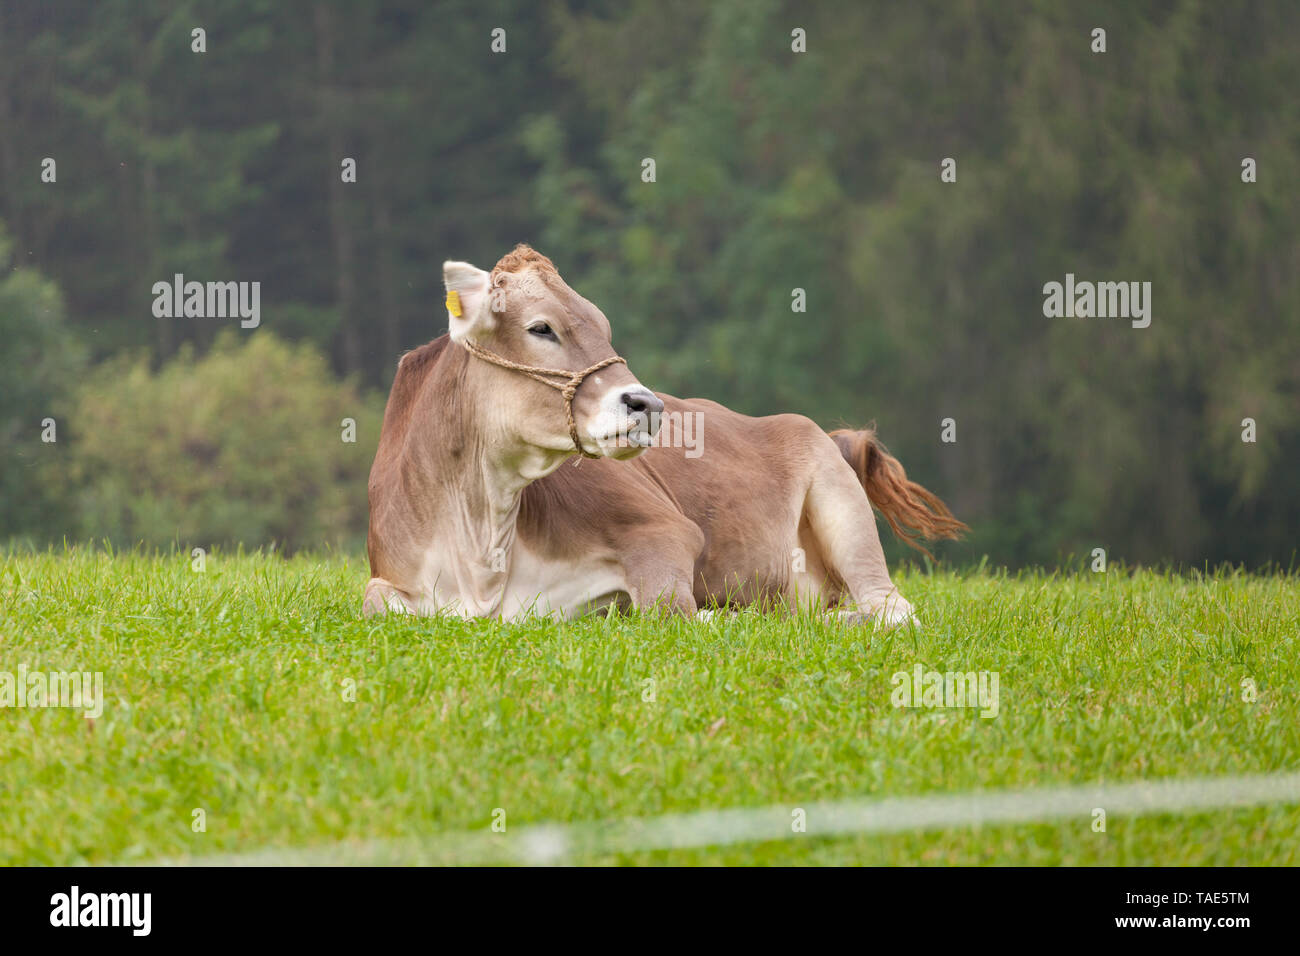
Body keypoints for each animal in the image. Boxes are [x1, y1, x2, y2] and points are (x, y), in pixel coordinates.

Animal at [364, 245, 965, 625]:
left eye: (603, 326)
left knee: (891, 609)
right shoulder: (390, 577)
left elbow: (672, 612)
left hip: (840, 504)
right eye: (540, 327)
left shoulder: (664, 530)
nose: (647, 404)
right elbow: (375, 601)